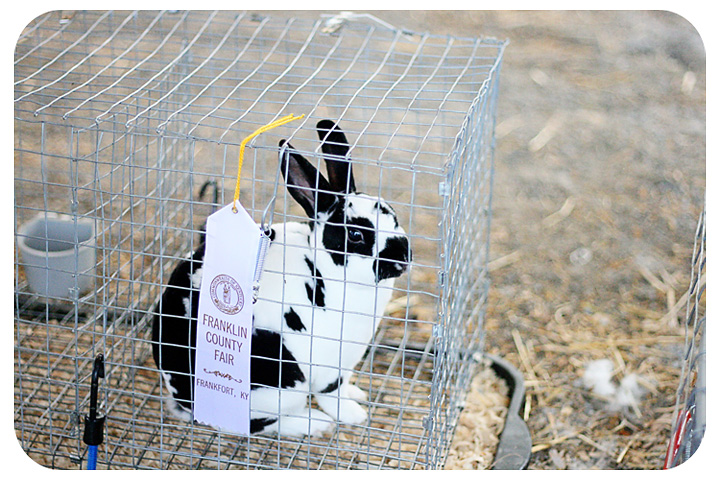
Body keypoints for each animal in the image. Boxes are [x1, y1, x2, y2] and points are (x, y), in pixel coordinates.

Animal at [152, 119, 411, 438]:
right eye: (356, 235)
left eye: (394, 216)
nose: (403, 255)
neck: (322, 271)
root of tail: (185, 400)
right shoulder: (329, 365)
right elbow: (332, 394)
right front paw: (354, 414)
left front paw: (357, 394)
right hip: (281, 383)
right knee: (260, 424)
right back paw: (314, 423)